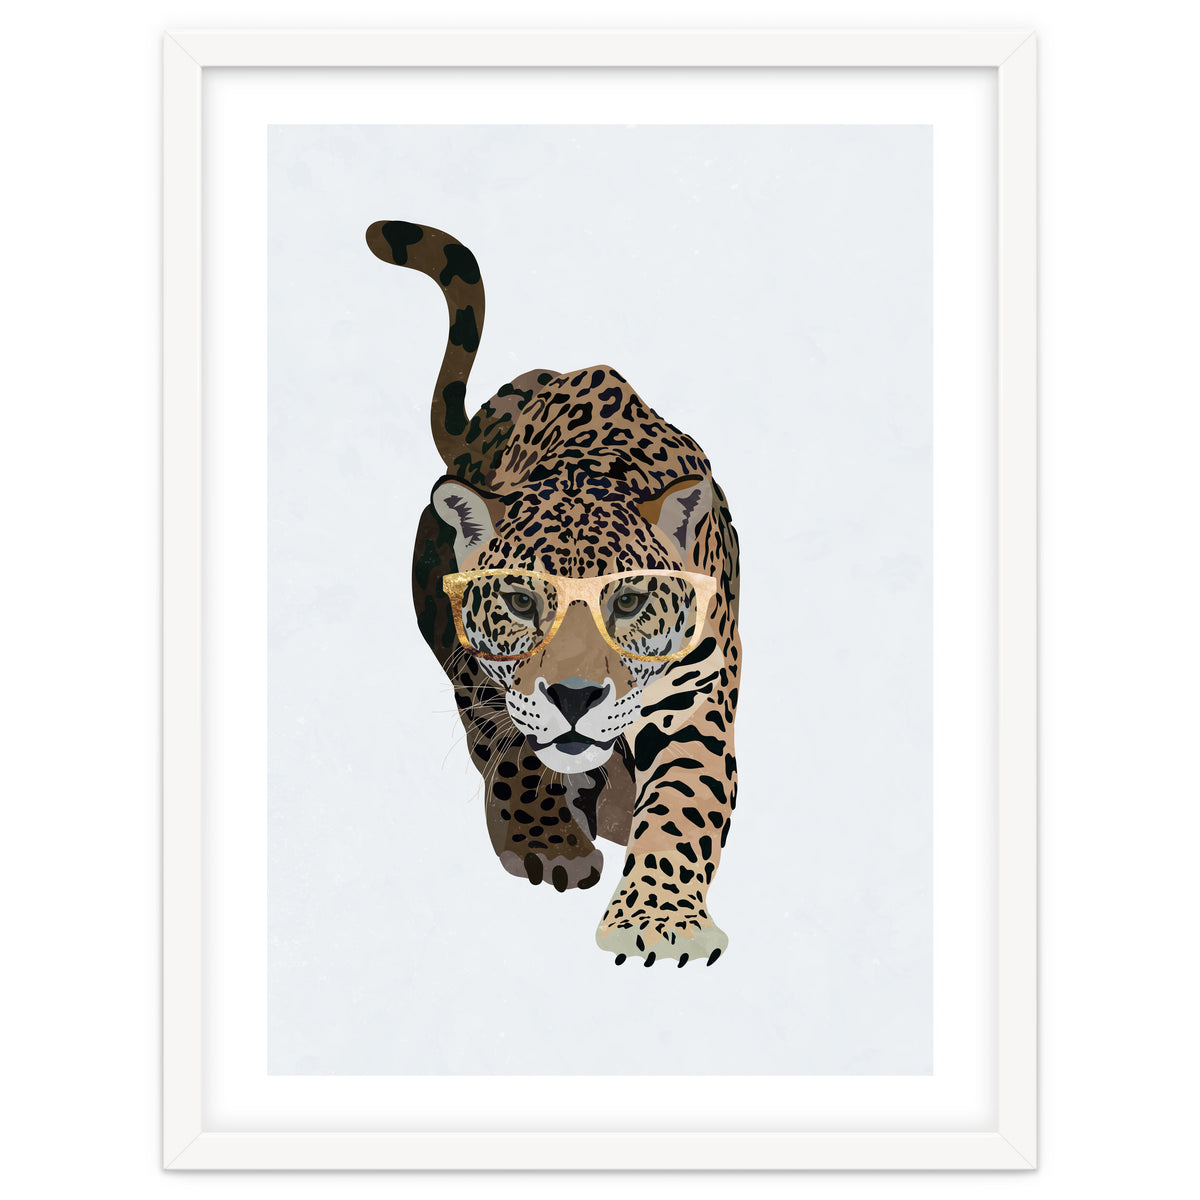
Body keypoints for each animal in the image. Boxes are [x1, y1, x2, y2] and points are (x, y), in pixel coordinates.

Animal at [366, 220, 741, 966]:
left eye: (626, 602)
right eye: (519, 602)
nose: (574, 697)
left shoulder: (696, 694)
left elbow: (684, 803)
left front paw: (658, 921)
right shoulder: (482, 672)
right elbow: (514, 749)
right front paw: (549, 843)